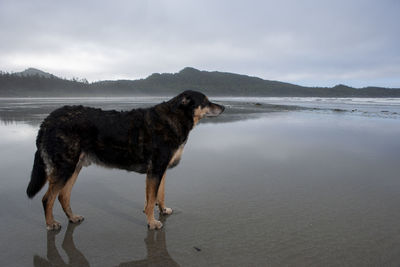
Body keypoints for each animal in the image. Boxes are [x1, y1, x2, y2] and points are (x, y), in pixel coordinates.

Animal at [26, 91, 223, 231]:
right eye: (205, 101)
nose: (223, 107)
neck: (174, 118)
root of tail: (48, 120)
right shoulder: (155, 170)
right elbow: (151, 200)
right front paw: (152, 222)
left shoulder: (161, 170)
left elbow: (160, 195)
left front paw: (163, 210)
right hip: (64, 168)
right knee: (47, 198)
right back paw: (51, 224)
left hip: (74, 167)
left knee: (63, 196)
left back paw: (72, 218)